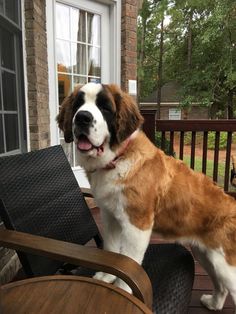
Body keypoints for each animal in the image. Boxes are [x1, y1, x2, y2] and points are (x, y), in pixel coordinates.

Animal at [57, 81, 236, 312]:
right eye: (78, 104)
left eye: (105, 107)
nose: (82, 118)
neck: (118, 157)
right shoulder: (110, 218)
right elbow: (111, 250)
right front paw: (106, 276)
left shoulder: (137, 226)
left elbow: (130, 261)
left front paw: (123, 291)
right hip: (206, 255)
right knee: (220, 286)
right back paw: (213, 303)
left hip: (226, 264)